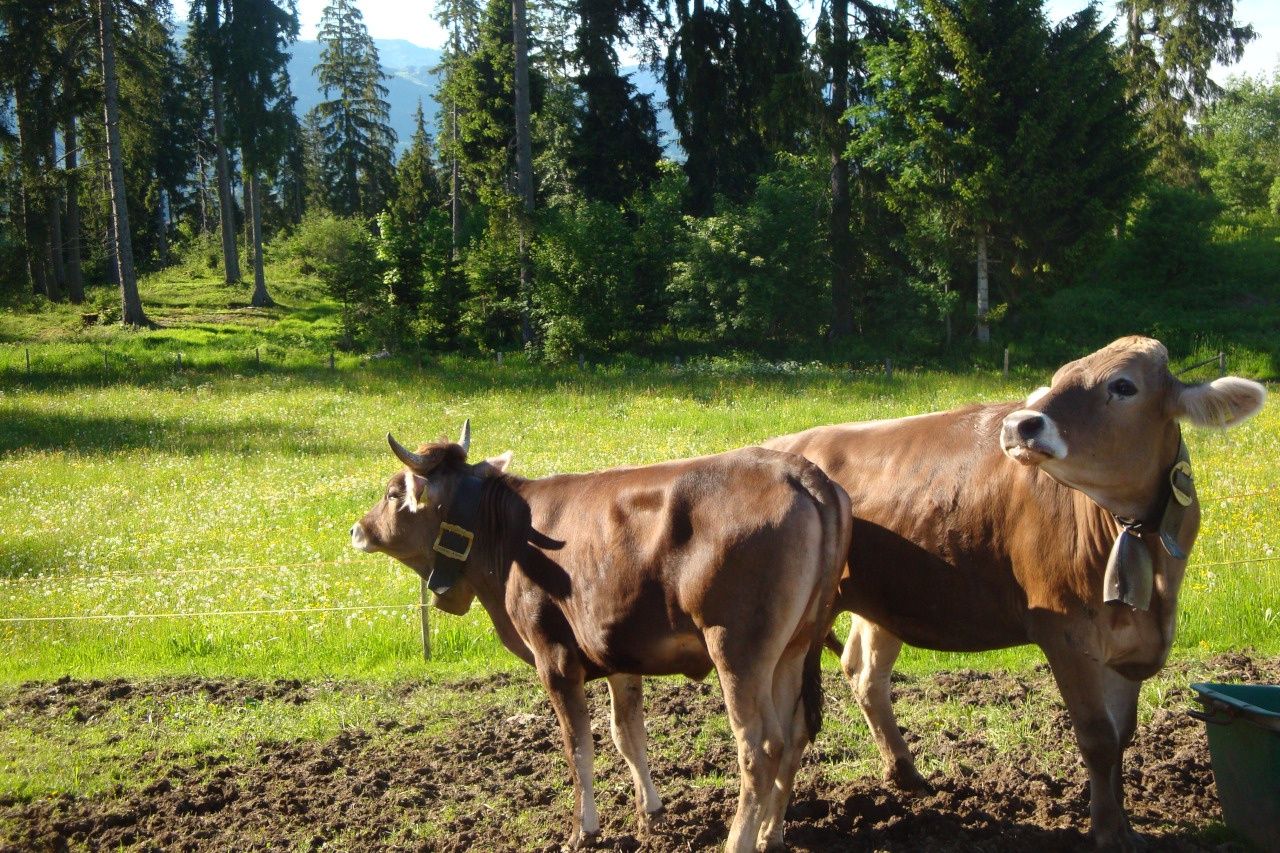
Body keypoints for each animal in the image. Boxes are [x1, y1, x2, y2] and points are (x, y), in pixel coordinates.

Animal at [350, 423, 853, 852]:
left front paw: (583, 830)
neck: (510, 536)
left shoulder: (554, 659)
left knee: (760, 747)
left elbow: (579, 749)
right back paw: (771, 834)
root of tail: (797, 470)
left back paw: (740, 840)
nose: (357, 529)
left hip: (738, 650)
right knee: (793, 733)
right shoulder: (618, 656)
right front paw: (650, 814)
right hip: (793, 648)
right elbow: (627, 736)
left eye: (393, 493)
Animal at [763, 336, 1267, 849]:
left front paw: (1125, 822)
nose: (1019, 424)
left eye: (1124, 385)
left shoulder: (1131, 643)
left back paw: (905, 772)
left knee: (865, 672)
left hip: (883, 601)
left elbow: (1123, 736)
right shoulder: (1066, 633)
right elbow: (1098, 737)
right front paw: (1108, 830)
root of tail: (781, 445)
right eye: (1060, 378)